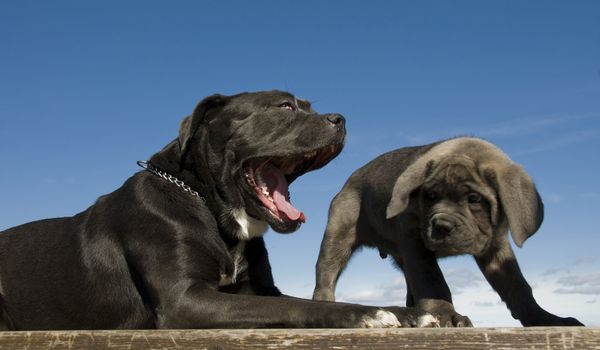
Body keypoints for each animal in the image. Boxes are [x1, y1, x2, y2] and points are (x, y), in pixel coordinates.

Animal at [314, 137, 584, 328]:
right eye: (430, 196)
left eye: (474, 199)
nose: (442, 225)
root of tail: (351, 178)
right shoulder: (415, 242)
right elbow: (433, 280)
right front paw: (447, 315)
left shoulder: (496, 247)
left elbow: (517, 286)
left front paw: (544, 318)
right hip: (338, 235)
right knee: (326, 274)